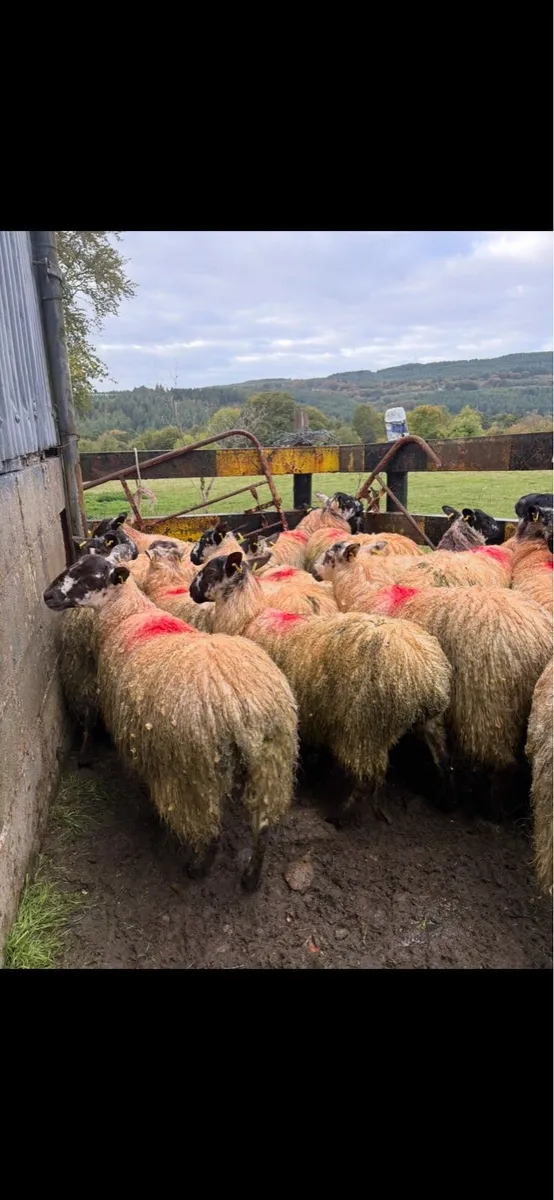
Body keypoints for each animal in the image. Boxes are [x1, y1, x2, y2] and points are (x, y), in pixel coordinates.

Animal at [43, 555, 299, 892]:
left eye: (90, 578)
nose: (47, 595)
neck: (128, 613)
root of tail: (244, 708)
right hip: (271, 764)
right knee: (264, 828)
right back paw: (251, 879)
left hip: (194, 773)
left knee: (211, 831)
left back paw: (198, 868)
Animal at [189, 551, 453, 806]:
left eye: (210, 571)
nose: (191, 591)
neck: (246, 617)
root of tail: (423, 674)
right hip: (430, 724)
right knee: (442, 760)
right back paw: (445, 800)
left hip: (365, 728)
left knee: (365, 780)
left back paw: (341, 814)